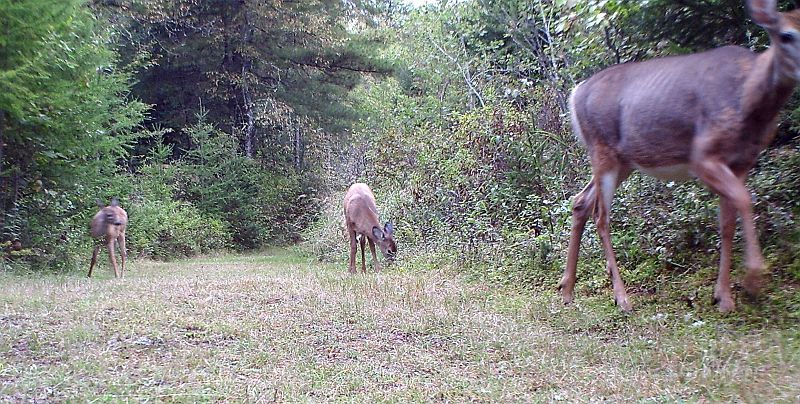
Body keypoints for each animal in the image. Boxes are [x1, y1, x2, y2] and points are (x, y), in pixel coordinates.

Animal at [564, 0, 800, 312]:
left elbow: (727, 221)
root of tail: (575, 93)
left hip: (624, 161)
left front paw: (724, 295)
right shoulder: (703, 156)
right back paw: (621, 297)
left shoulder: (743, 161)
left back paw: (566, 290)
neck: (748, 100)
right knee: (601, 216)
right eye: (786, 35)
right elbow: (744, 200)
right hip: (602, 149)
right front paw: (752, 280)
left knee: (581, 201)